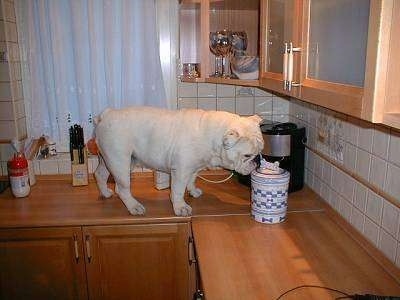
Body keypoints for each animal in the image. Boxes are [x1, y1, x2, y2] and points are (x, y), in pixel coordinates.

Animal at [93, 106, 262, 217]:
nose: (257, 161)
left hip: (111, 160)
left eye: (260, 152)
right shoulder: (181, 170)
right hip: (120, 160)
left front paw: (193, 191)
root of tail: (106, 114)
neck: (212, 136)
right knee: (122, 188)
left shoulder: (194, 167)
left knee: (100, 174)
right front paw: (180, 207)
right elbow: (178, 190)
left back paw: (105, 193)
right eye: (247, 155)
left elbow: (192, 180)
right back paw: (134, 207)